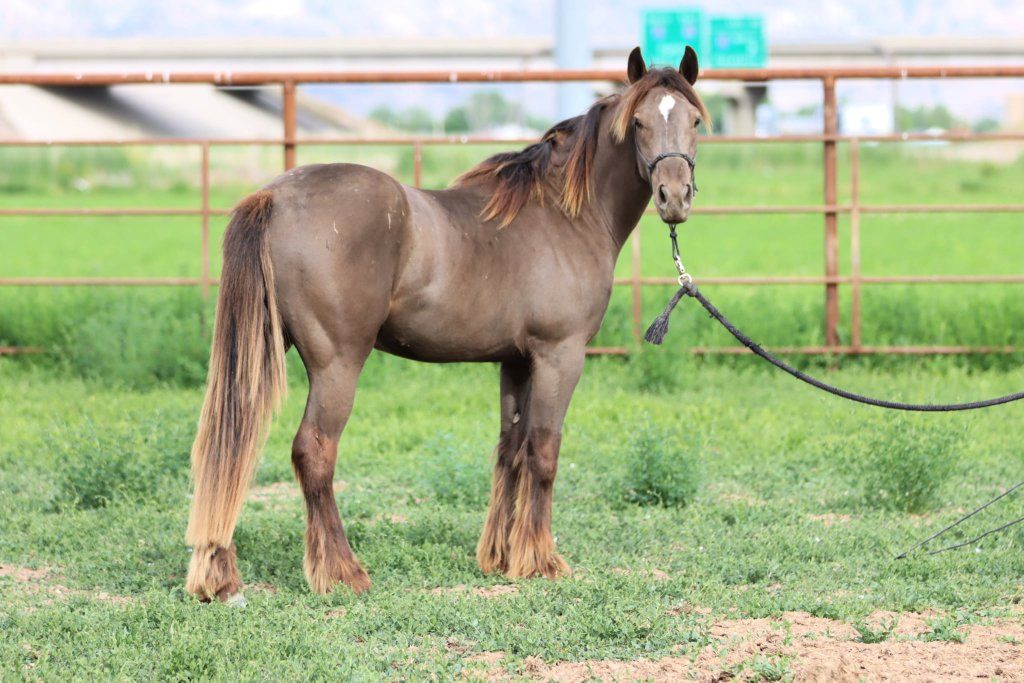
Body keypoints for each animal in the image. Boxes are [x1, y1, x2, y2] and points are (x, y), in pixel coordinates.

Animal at [184, 46, 708, 601]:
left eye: (694, 121)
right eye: (639, 122)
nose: (675, 197)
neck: (564, 217)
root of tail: (275, 197)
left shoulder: (516, 362)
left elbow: (511, 450)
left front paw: (501, 557)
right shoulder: (559, 356)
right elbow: (544, 452)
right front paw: (542, 560)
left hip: (262, 351)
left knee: (232, 443)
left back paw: (218, 577)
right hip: (336, 362)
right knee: (314, 452)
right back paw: (342, 572)